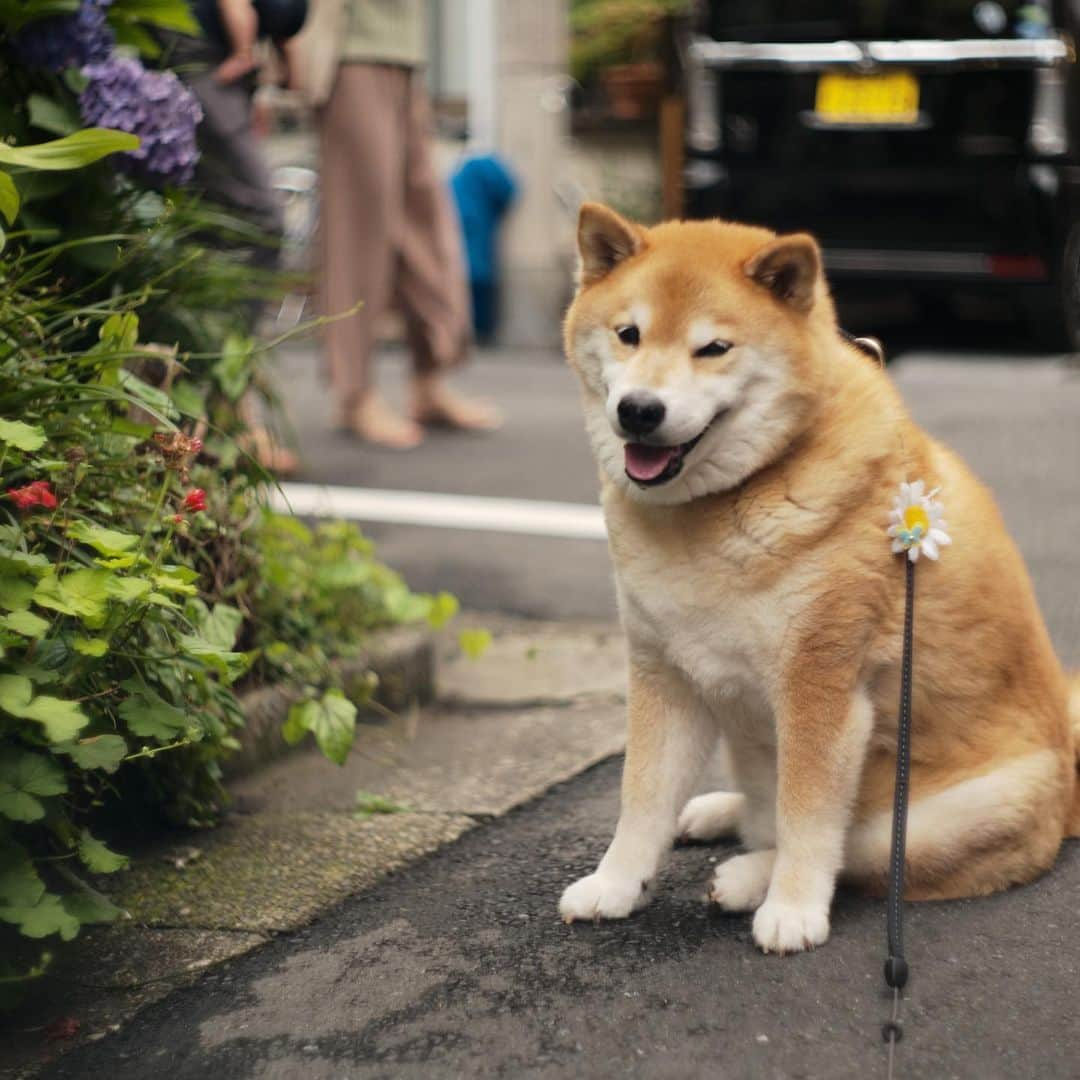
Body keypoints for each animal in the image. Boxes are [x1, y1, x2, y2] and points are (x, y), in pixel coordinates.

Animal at [557, 203, 1080, 954]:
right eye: (629, 334)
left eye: (713, 348)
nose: (639, 410)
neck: (715, 513)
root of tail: (1070, 792)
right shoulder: (665, 674)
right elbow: (642, 798)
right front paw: (615, 884)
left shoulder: (821, 685)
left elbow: (806, 818)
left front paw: (794, 909)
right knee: (757, 808)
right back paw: (719, 813)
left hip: (936, 816)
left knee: (848, 850)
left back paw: (749, 877)